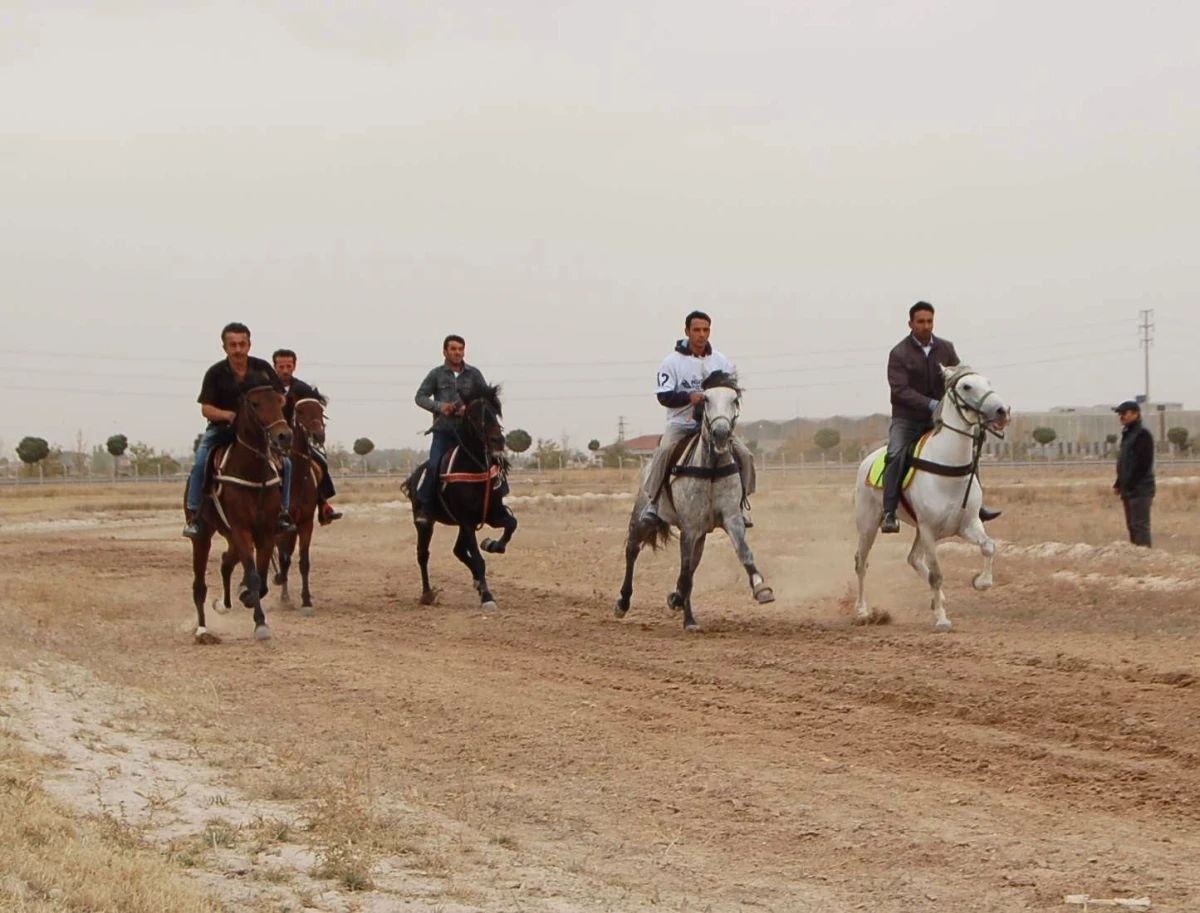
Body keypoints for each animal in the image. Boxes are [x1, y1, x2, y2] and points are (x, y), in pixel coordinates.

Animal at [400, 381, 518, 609]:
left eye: (495, 411)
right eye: (474, 415)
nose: (498, 440)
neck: (475, 466)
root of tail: (413, 477)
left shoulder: (490, 514)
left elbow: (511, 525)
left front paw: (492, 544)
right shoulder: (466, 520)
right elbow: (479, 559)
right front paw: (488, 597)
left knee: (458, 551)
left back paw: (477, 583)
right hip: (425, 523)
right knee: (423, 554)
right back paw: (427, 594)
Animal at [614, 369, 772, 633]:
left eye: (734, 400)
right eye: (705, 399)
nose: (721, 433)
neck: (711, 468)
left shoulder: (730, 519)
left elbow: (743, 553)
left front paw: (761, 588)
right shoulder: (689, 526)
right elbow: (685, 572)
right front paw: (674, 598)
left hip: (700, 535)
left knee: (688, 568)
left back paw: (689, 619)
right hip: (643, 519)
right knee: (632, 551)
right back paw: (623, 603)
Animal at [854, 362, 1012, 628]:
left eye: (988, 382)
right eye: (966, 386)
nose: (1002, 411)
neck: (948, 468)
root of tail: (867, 460)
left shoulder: (968, 525)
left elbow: (988, 547)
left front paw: (980, 582)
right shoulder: (928, 530)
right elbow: (937, 574)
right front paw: (942, 619)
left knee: (912, 559)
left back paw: (938, 598)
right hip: (868, 525)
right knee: (861, 562)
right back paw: (863, 611)